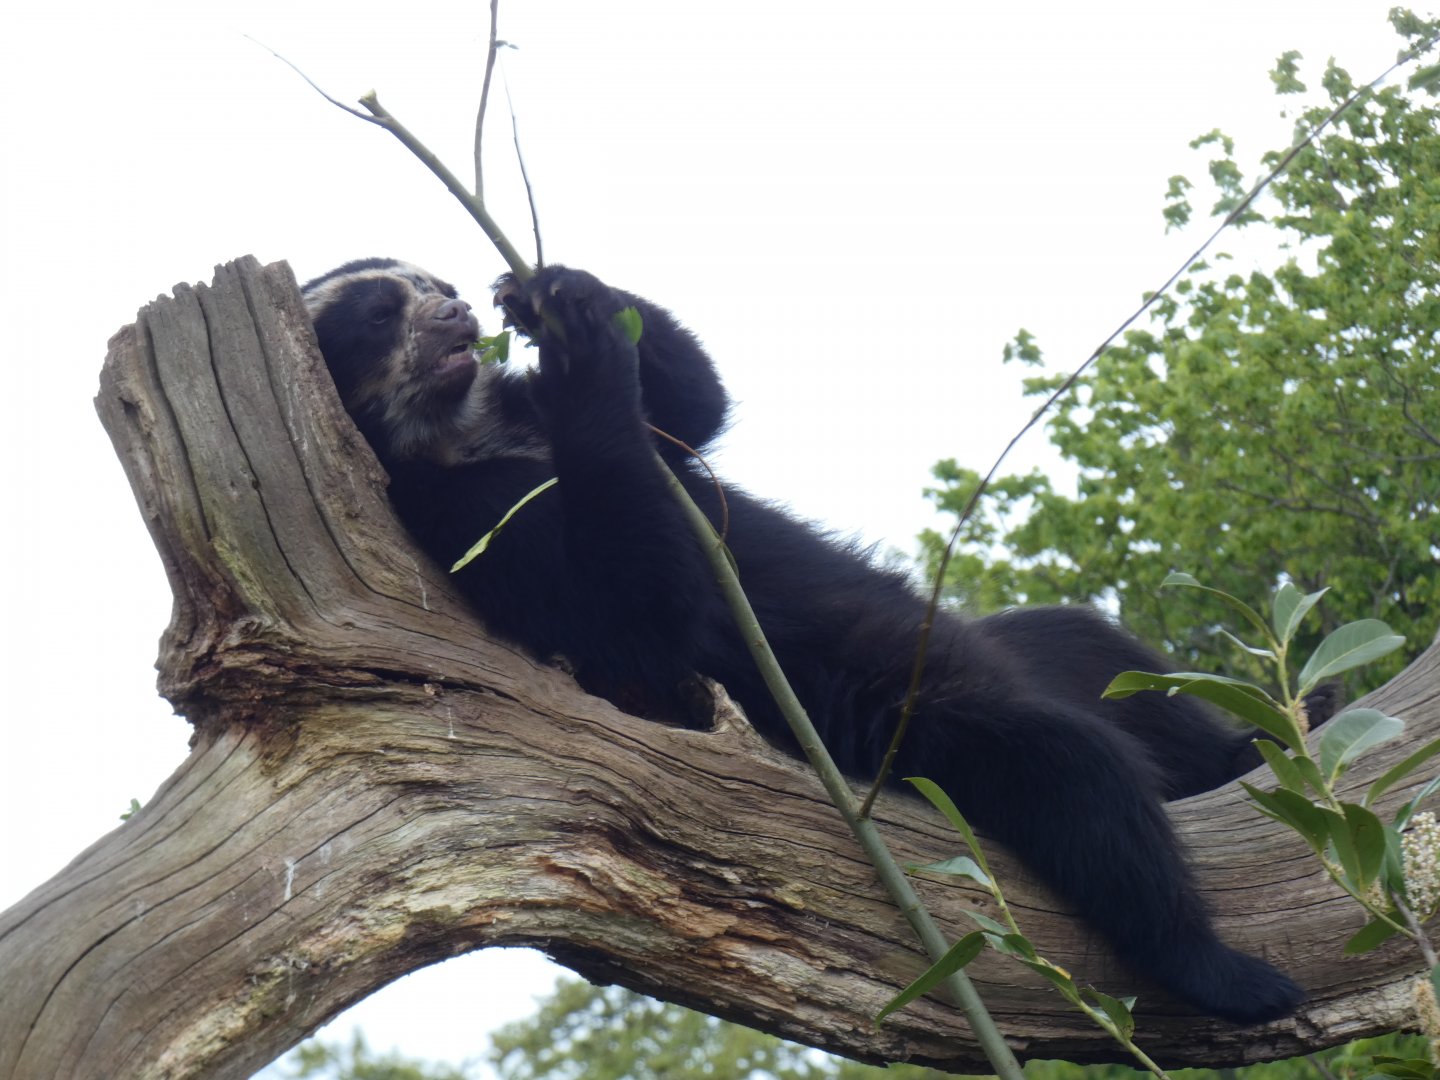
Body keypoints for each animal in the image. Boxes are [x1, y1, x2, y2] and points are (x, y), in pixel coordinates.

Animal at [301, 257, 1312, 1023]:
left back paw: (1260, 740)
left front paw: (558, 291)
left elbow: (692, 410)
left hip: (1025, 651)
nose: (458, 308)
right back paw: (1228, 974)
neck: (464, 432)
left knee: (1100, 651)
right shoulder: (463, 526)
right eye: (382, 312)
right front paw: (585, 347)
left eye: (434, 282)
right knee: (1075, 778)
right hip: (913, 723)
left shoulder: (527, 411)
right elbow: (641, 610)